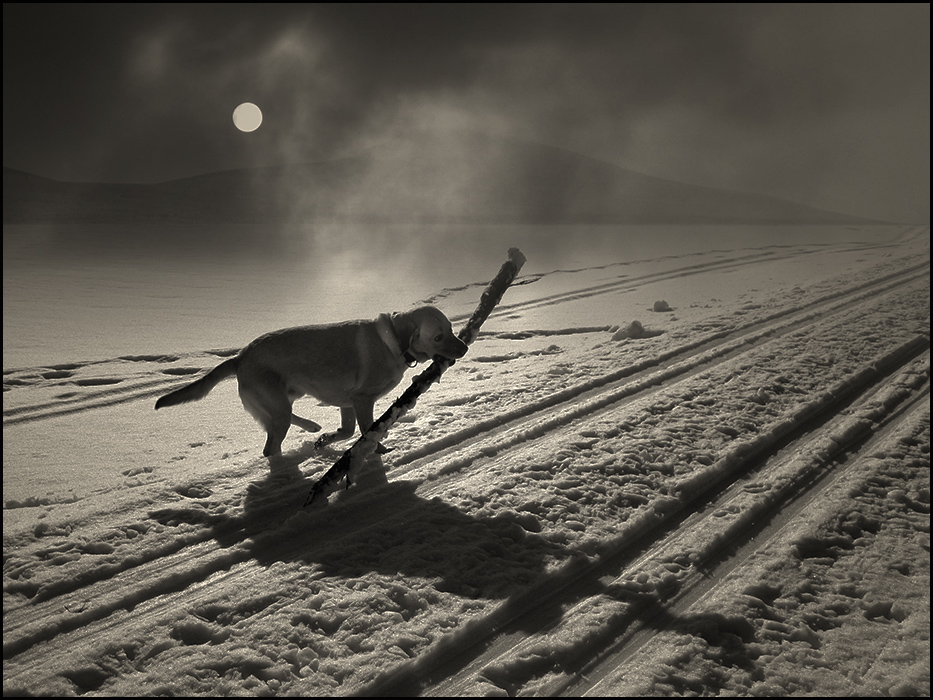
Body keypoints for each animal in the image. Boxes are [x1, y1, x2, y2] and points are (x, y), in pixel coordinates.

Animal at [158, 304, 474, 456]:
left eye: (451, 328)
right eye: (438, 337)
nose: (465, 348)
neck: (394, 341)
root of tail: (240, 357)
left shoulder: (348, 401)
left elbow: (347, 431)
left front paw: (325, 441)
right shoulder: (361, 399)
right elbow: (367, 431)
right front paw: (377, 451)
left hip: (286, 398)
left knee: (281, 420)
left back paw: (312, 427)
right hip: (278, 406)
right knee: (271, 446)